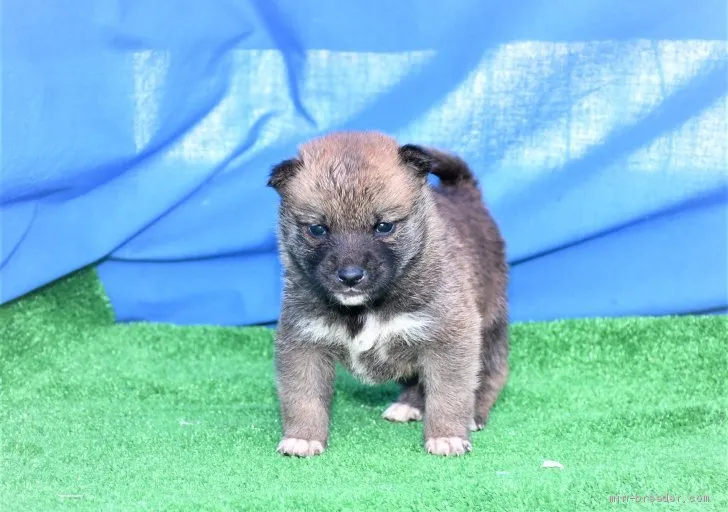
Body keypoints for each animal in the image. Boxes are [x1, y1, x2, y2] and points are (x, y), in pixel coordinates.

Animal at [264, 131, 510, 456]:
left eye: (383, 226)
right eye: (317, 229)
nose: (350, 276)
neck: (365, 308)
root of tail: (464, 193)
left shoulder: (450, 337)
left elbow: (448, 392)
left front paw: (446, 436)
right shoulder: (304, 342)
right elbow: (303, 396)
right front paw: (302, 438)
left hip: (491, 323)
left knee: (493, 372)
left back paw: (475, 413)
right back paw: (408, 406)